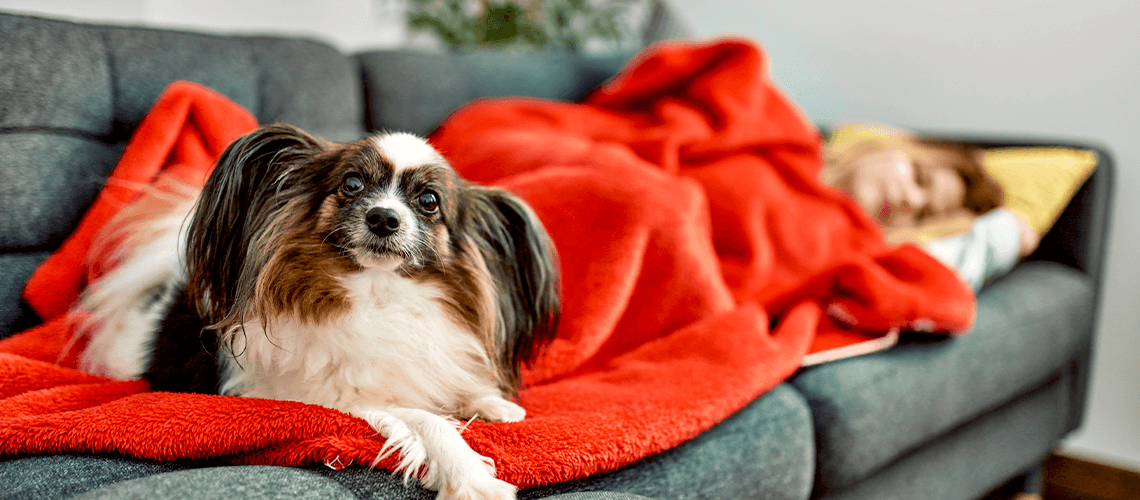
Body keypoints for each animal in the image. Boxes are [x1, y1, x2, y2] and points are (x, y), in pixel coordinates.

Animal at [75, 122, 560, 500]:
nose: (383, 218)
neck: (380, 294)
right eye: (351, 184)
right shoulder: (337, 398)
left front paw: (492, 403)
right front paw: (470, 478)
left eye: (429, 201)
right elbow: (427, 420)